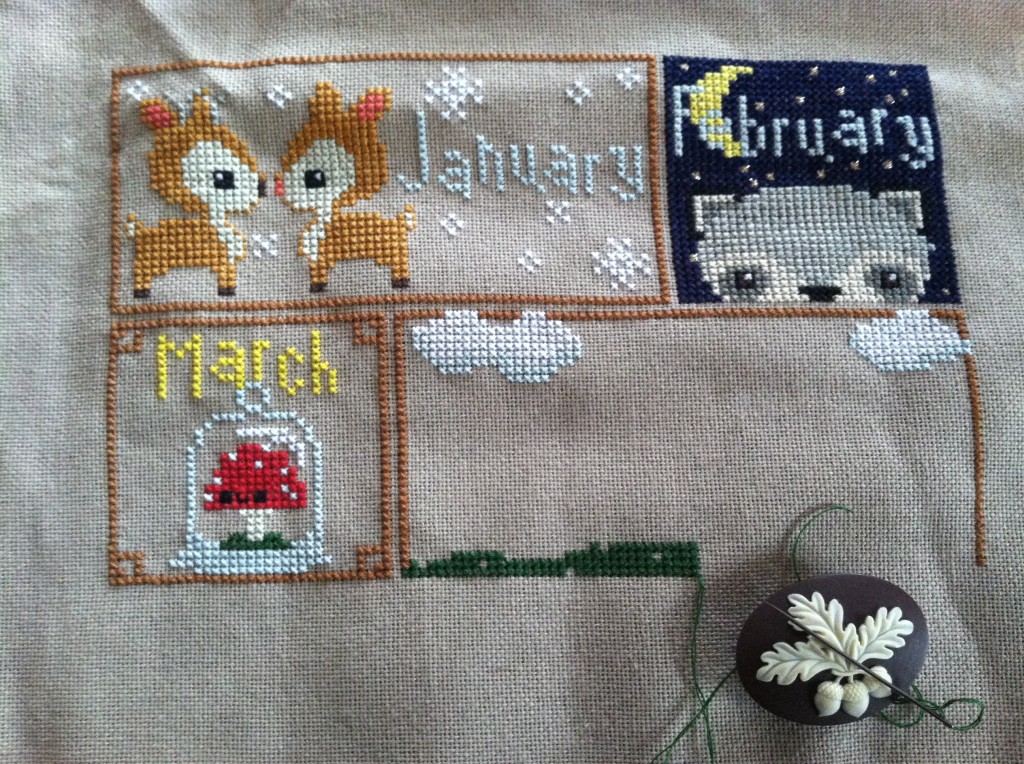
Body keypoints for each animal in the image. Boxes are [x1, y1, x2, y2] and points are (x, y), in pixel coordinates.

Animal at [125, 90, 265, 297]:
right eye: (223, 178)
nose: (262, 186)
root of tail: (141, 232)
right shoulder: (224, 261)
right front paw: (226, 292)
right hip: (149, 263)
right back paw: (141, 293)